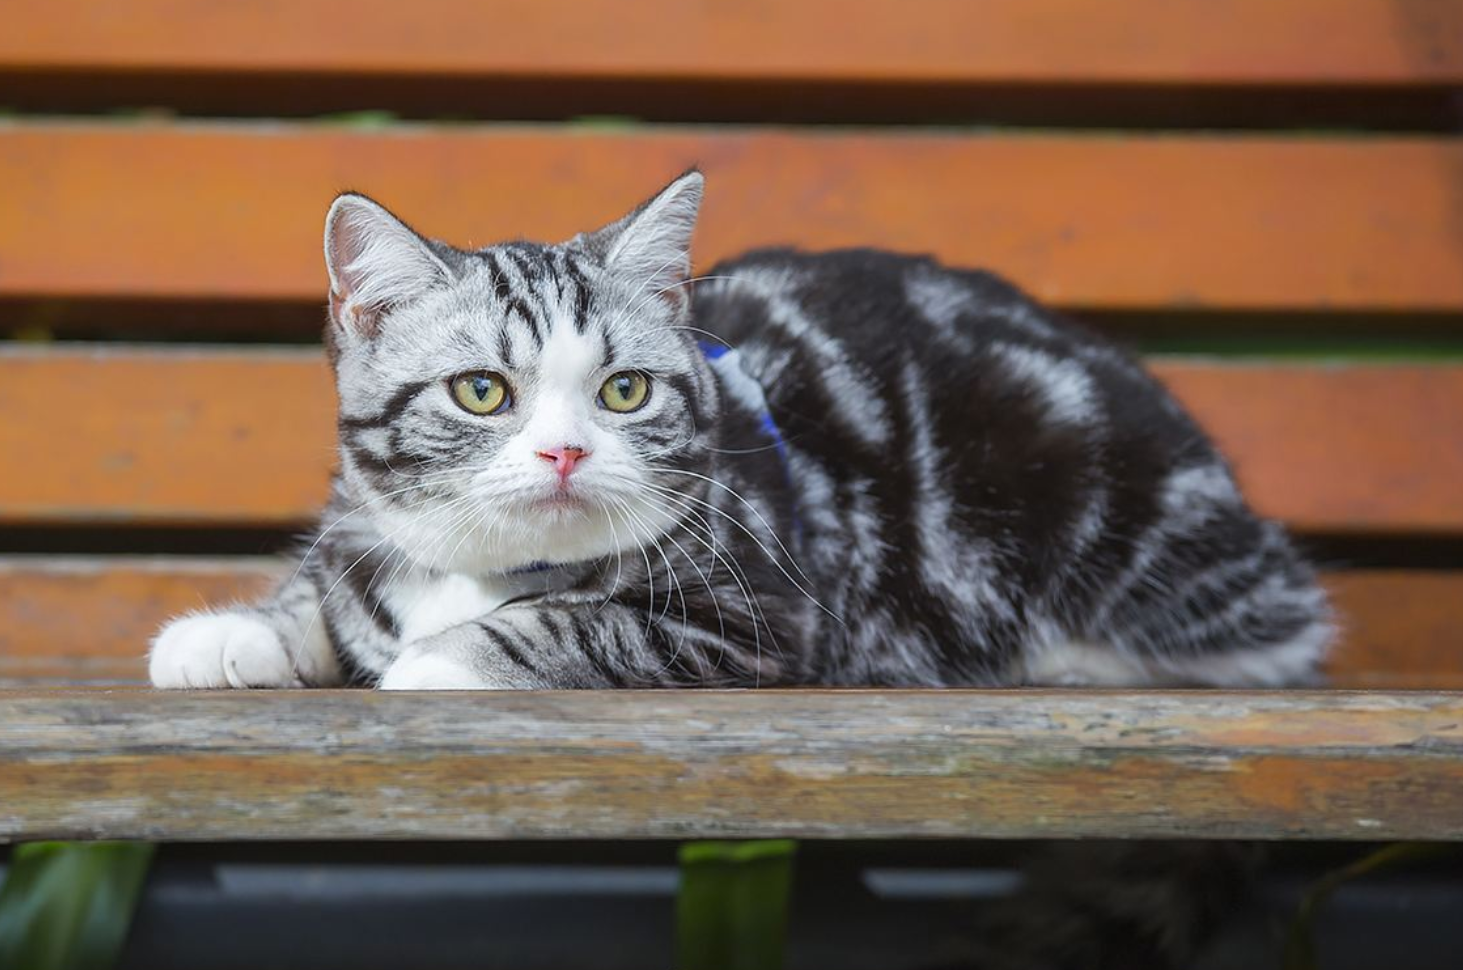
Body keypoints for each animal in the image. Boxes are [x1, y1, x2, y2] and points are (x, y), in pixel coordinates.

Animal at [151, 170, 1340, 693]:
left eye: (624, 392)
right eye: (482, 392)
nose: (564, 451)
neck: (488, 568)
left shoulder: (765, 615)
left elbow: (574, 623)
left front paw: (440, 661)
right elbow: (334, 596)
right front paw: (241, 630)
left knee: (1274, 633)